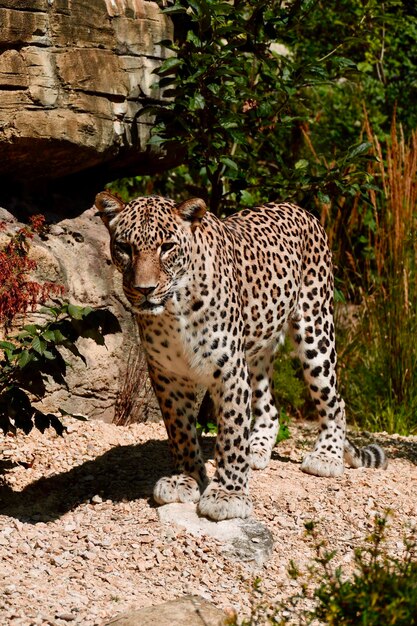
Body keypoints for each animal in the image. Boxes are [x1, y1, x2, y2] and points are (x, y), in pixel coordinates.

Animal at [95, 191, 386, 520]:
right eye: (124, 248)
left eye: (166, 247)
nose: (145, 289)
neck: (174, 310)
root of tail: (301, 209)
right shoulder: (167, 374)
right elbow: (180, 431)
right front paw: (186, 479)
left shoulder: (229, 368)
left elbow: (232, 430)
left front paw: (228, 493)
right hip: (256, 354)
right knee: (269, 408)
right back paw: (257, 450)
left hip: (316, 331)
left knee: (335, 400)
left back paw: (327, 457)